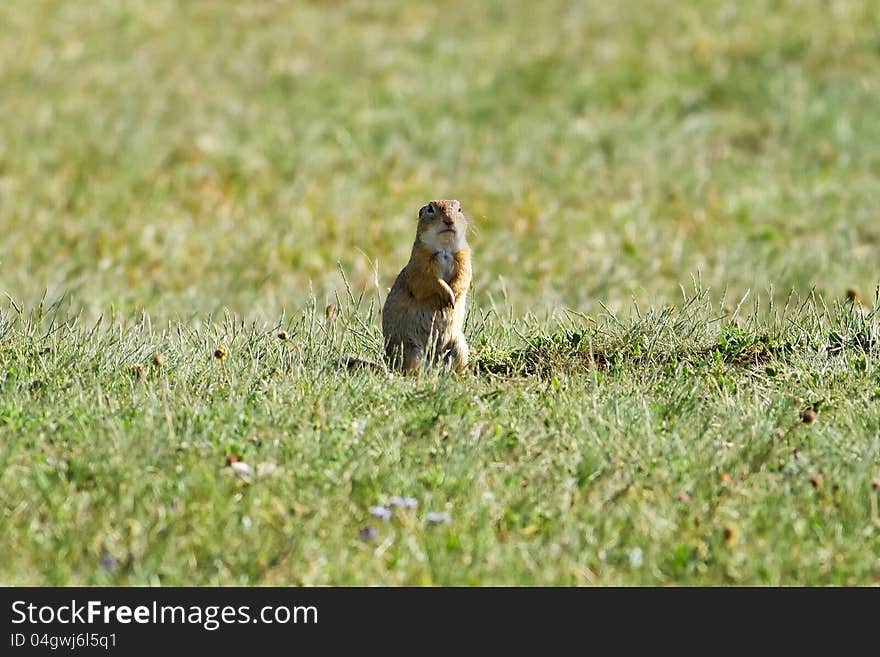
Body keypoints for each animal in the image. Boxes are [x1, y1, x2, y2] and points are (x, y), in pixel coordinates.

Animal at [382, 199, 470, 374]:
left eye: (459, 209)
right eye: (430, 209)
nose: (449, 220)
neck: (445, 249)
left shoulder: (464, 257)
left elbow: (464, 277)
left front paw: (453, 295)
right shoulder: (420, 262)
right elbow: (428, 280)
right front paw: (447, 294)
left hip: (459, 347)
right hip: (411, 350)